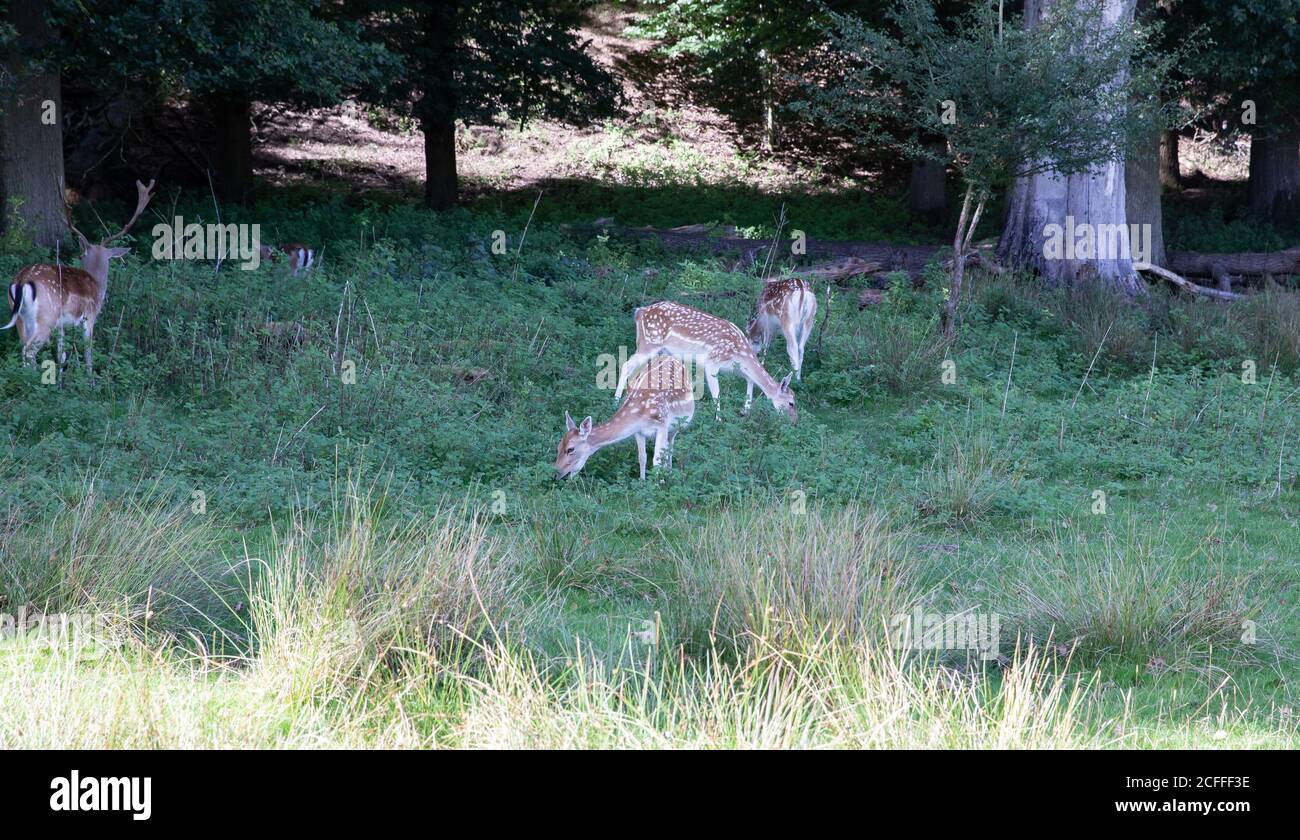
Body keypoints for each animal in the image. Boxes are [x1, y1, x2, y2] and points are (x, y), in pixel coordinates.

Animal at [4, 179, 154, 374]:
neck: (97, 284)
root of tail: (21, 280)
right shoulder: (89, 316)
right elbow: (88, 353)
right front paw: (91, 379)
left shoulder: (62, 326)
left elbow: (61, 354)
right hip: (46, 316)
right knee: (28, 351)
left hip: (21, 319)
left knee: (22, 348)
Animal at [561, 353, 702, 481]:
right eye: (558, 446)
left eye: (570, 449)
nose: (559, 472)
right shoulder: (638, 431)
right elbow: (642, 457)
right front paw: (642, 481)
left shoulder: (662, 424)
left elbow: (656, 461)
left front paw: (658, 486)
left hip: (678, 424)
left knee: (670, 446)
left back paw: (670, 473)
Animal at [613, 299, 795, 423]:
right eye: (792, 403)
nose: (794, 422)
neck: (741, 353)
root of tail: (639, 312)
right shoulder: (712, 362)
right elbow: (716, 393)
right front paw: (718, 419)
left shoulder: (732, 368)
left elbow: (750, 380)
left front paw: (745, 410)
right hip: (648, 344)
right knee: (626, 365)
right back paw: (616, 401)